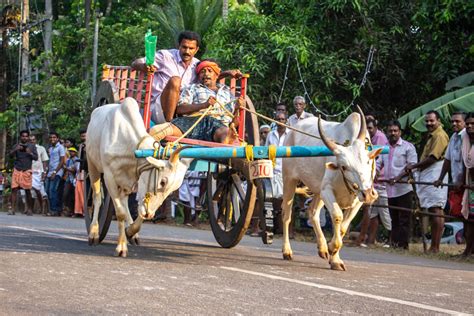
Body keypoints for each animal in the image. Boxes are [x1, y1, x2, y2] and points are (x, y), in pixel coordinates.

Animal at [86, 98, 190, 256]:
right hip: (92, 165)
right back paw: (93, 232)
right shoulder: (110, 177)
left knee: (123, 201)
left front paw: (130, 232)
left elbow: (137, 212)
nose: (150, 214)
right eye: (162, 182)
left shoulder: (135, 180)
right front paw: (121, 247)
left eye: (173, 190)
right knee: (97, 197)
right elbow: (120, 212)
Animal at [282, 108, 382, 270]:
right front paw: (332, 249)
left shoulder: (358, 199)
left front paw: (334, 258)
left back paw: (322, 248)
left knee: (312, 212)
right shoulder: (327, 191)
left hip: (317, 190)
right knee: (286, 215)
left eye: (368, 161)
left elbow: (342, 228)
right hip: (289, 179)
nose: (369, 194)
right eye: (344, 167)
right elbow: (337, 216)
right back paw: (287, 251)